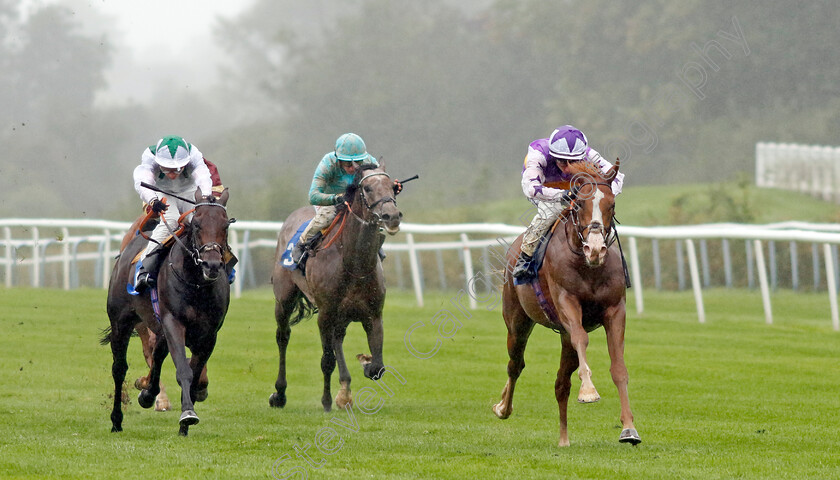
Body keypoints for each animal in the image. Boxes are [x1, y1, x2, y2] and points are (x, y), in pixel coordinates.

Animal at [103, 189, 233, 436]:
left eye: (225, 225)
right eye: (197, 224)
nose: (212, 265)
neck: (196, 285)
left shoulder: (209, 334)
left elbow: (194, 373)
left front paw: (184, 423)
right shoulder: (173, 323)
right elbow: (184, 369)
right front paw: (188, 414)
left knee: (157, 355)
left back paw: (148, 393)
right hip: (121, 321)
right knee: (119, 368)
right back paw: (116, 420)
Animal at [270, 163, 400, 410]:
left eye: (393, 187)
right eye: (367, 188)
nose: (392, 216)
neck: (354, 264)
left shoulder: (373, 315)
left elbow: (377, 367)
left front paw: (365, 364)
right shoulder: (326, 314)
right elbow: (327, 360)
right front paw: (328, 400)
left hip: (342, 316)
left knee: (337, 339)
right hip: (285, 299)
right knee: (283, 337)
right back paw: (279, 394)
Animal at [488, 160, 640, 446]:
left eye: (612, 204)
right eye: (578, 203)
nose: (595, 249)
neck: (588, 267)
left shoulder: (616, 311)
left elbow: (619, 369)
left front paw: (629, 429)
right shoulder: (567, 303)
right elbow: (582, 337)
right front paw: (589, 391)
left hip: (562, 338)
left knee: (561, 383)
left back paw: (563, 438)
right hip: (517, 323)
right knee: (516, 364)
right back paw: (503, 407)